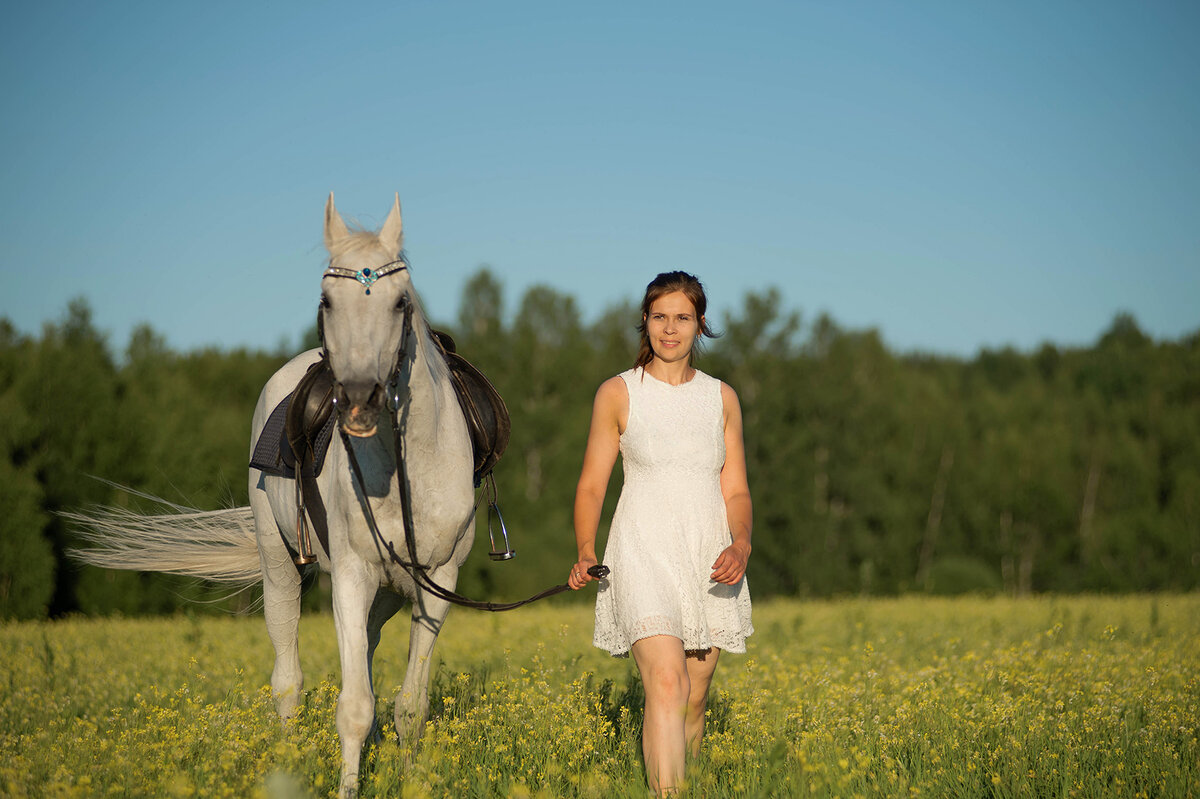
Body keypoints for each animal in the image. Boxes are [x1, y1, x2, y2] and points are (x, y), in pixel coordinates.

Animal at [71, 194, 477, 796]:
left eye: (401, 301)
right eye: (326, 300)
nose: (359, 400)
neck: (406, 468)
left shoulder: (438, 583)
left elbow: (409, 706)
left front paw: (409, 781)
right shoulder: (351, 576)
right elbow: (354, 706)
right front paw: (347, 785)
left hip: (382, 595)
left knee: (367, 655)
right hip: (280, 566)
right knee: (288, 681)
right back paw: (286, 760)